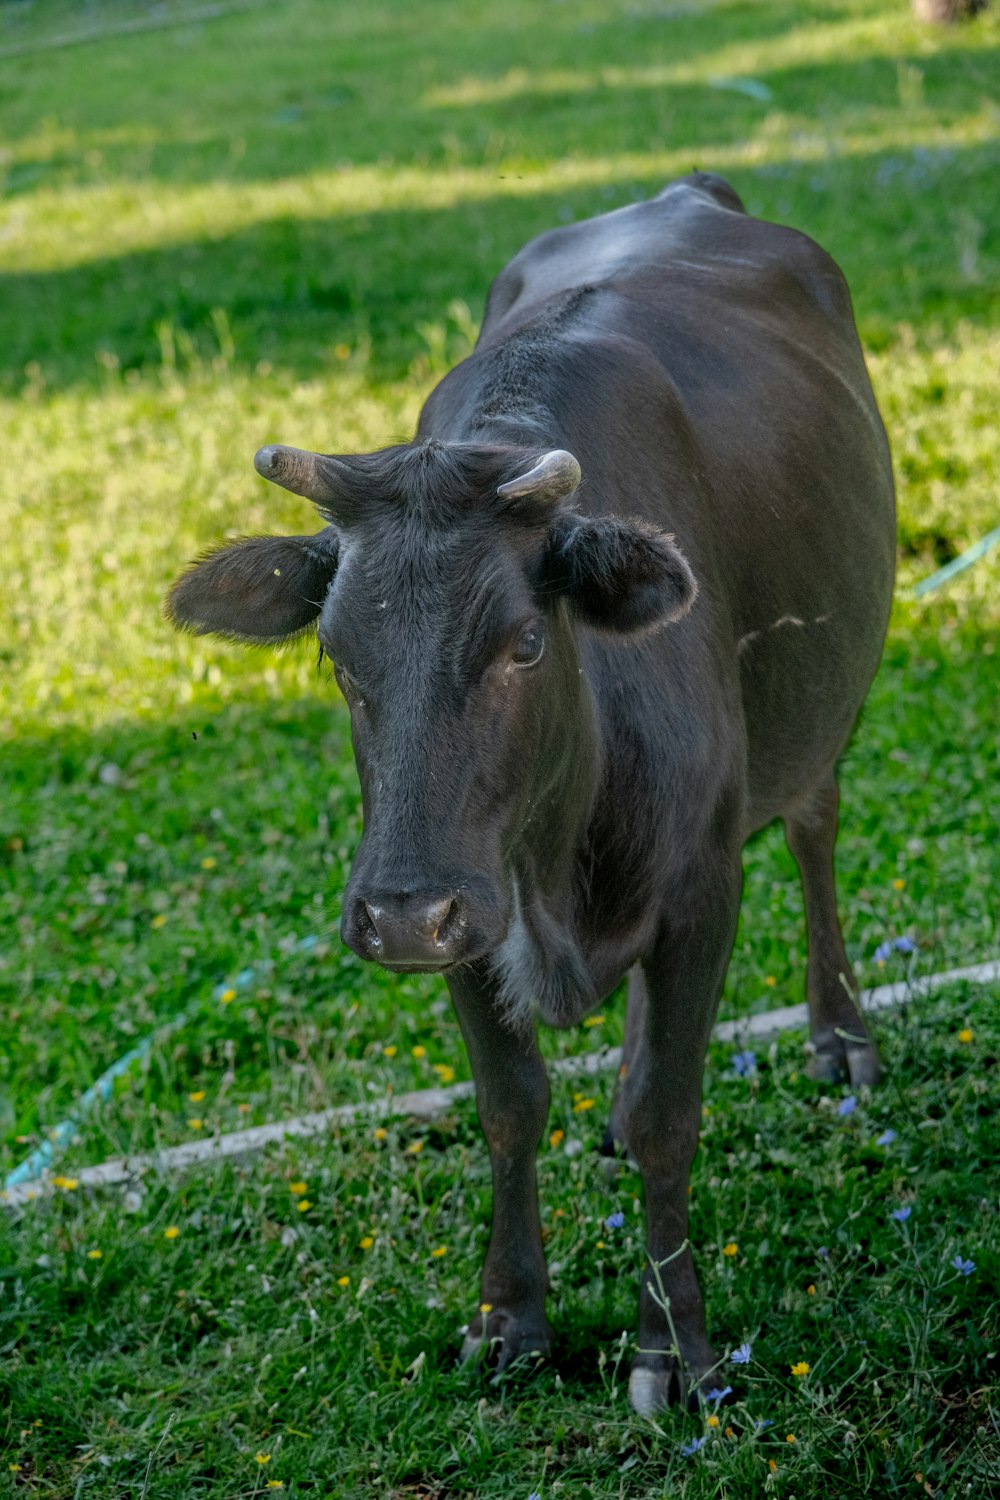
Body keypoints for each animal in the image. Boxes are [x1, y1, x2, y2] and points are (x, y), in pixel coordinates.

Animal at [167, 175, 893, 1416]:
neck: (559, 860)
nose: (399, 914)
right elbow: (510, 1104)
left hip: (819, 713)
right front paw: (510, 1316)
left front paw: (673, 1348)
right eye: (337, 656)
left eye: (521, 644)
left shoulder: (700, 888)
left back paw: (837, 1032)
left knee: (814, 830)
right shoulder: (472, 903)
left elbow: (668, 1116)